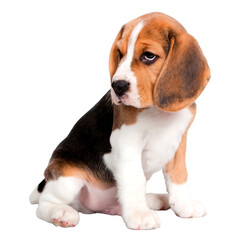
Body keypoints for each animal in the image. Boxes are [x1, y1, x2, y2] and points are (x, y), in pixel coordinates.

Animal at [29, 12, 210, 230]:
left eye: (149, 56)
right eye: (120, 53)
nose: (117, 86)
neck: (157, 111)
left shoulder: (178, 143)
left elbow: (178, 175)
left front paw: (184, 205)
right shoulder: (126, 142)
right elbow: (135, 179)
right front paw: (140, 214)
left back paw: (155, 199)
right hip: (68, 178)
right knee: (44, 204)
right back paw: (62, 213)